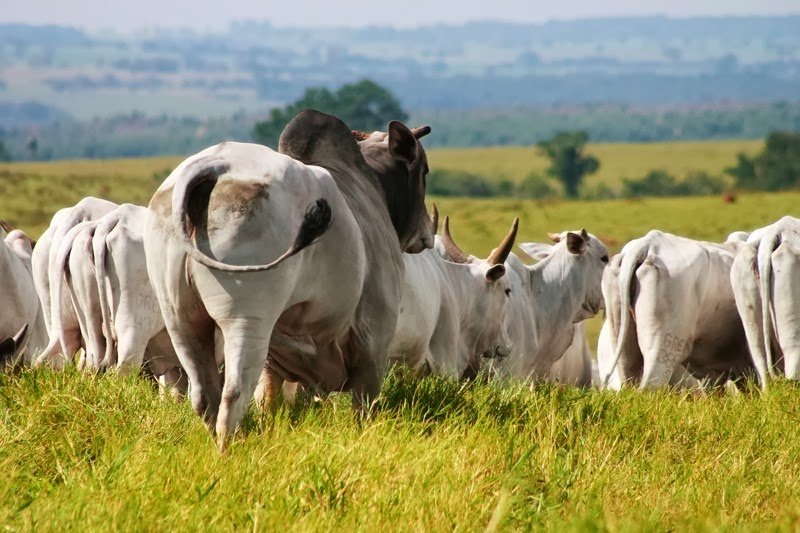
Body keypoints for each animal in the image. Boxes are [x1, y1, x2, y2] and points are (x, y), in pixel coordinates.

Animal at [144, 109, 432, 444]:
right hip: (246, 317)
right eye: (424, 171)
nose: (426, 233)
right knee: (233, 394)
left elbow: (269, 398)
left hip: (180, 318)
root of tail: (214, 166)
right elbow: (364, 406)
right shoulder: (374, 338)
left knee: (204, 396)